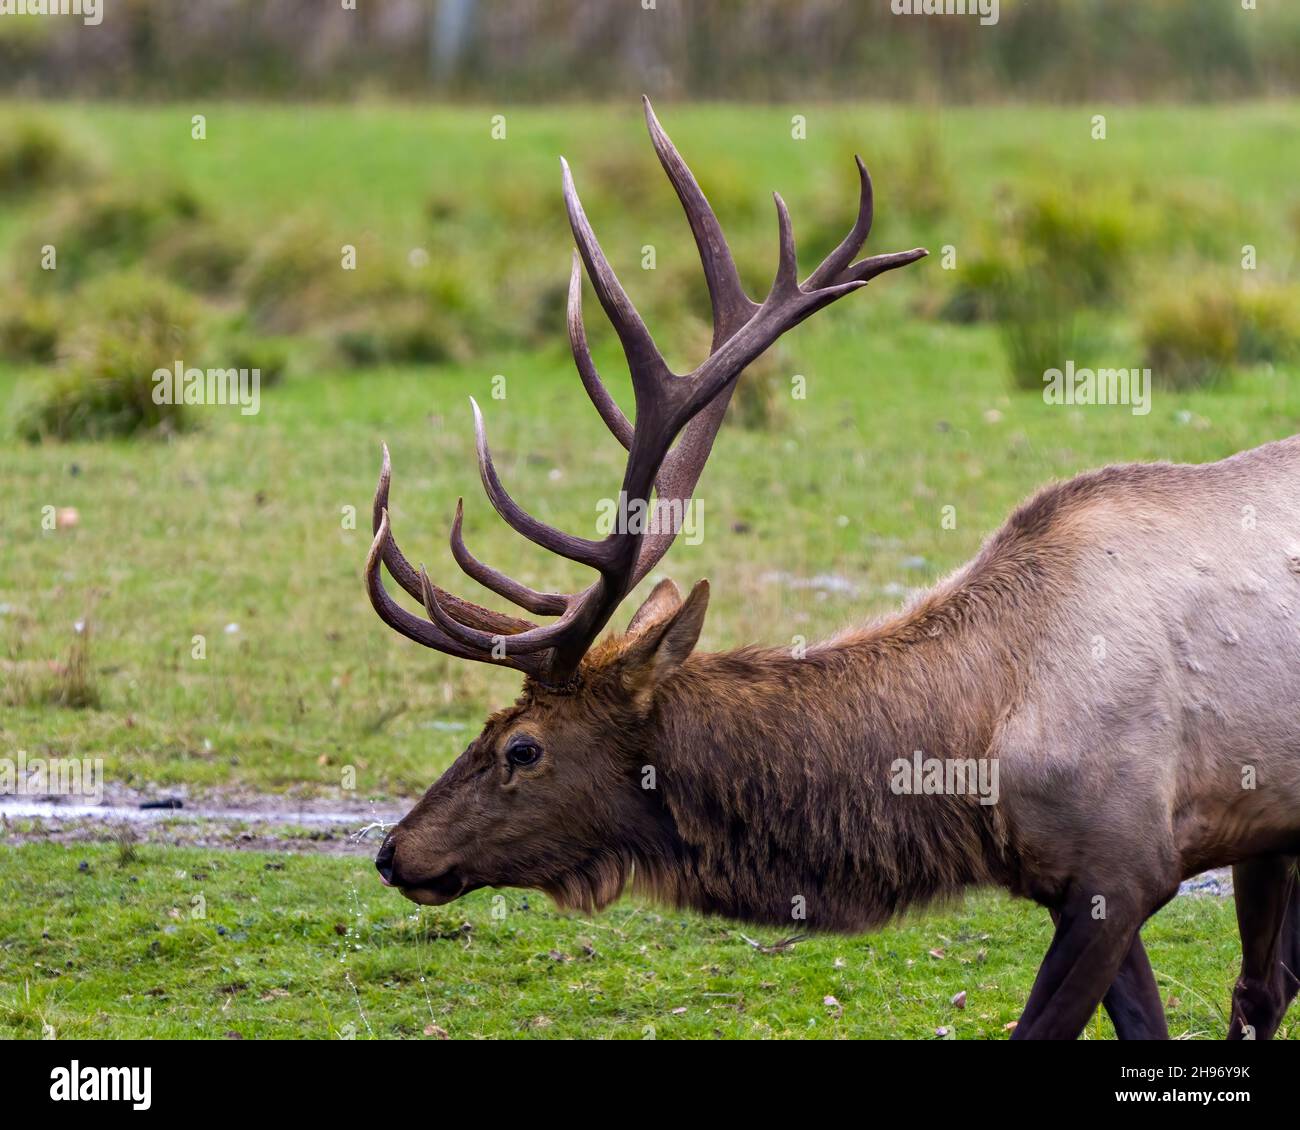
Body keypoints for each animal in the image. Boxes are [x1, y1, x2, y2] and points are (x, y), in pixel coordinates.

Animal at [366, 98, 1300, 1040]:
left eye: (523, 748)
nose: (393, 849)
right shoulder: (1073, 879)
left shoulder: (1124, 864)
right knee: (1264, 985)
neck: (975, 750)